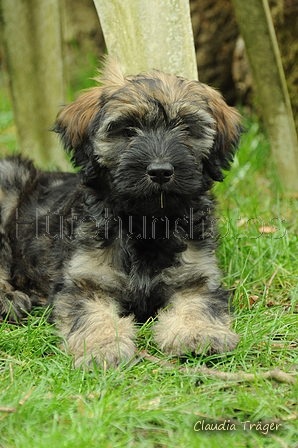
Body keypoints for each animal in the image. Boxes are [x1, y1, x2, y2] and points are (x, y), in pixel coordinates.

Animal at [0, 59, 242, 368]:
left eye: (187, 129)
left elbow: (199, 304)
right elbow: (94, 315)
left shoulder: (196, 277)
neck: (146, 223)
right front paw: (103, 348)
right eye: (128, 130)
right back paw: (10, 300)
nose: (160, 171)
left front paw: (199, 333)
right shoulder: (86, 283)